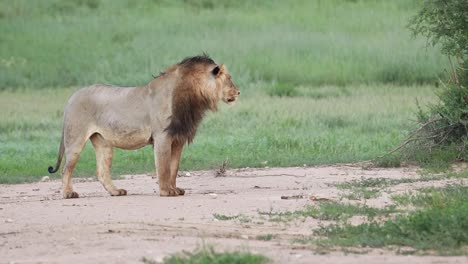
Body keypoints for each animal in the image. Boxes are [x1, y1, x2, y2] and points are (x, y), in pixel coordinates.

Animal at [47, 54, 239, 198]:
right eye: (229, 79)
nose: (238, 92)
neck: (193, 96)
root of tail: (72, 97)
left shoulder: (178, 139)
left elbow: (174, 168)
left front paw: (175, 189)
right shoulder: (162, 136)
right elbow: (163, 166)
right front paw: (166, 191)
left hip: (103, 142)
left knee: (102, 171)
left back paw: (116, 191)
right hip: (75, 139)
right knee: (65, 169)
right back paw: (68, 194)